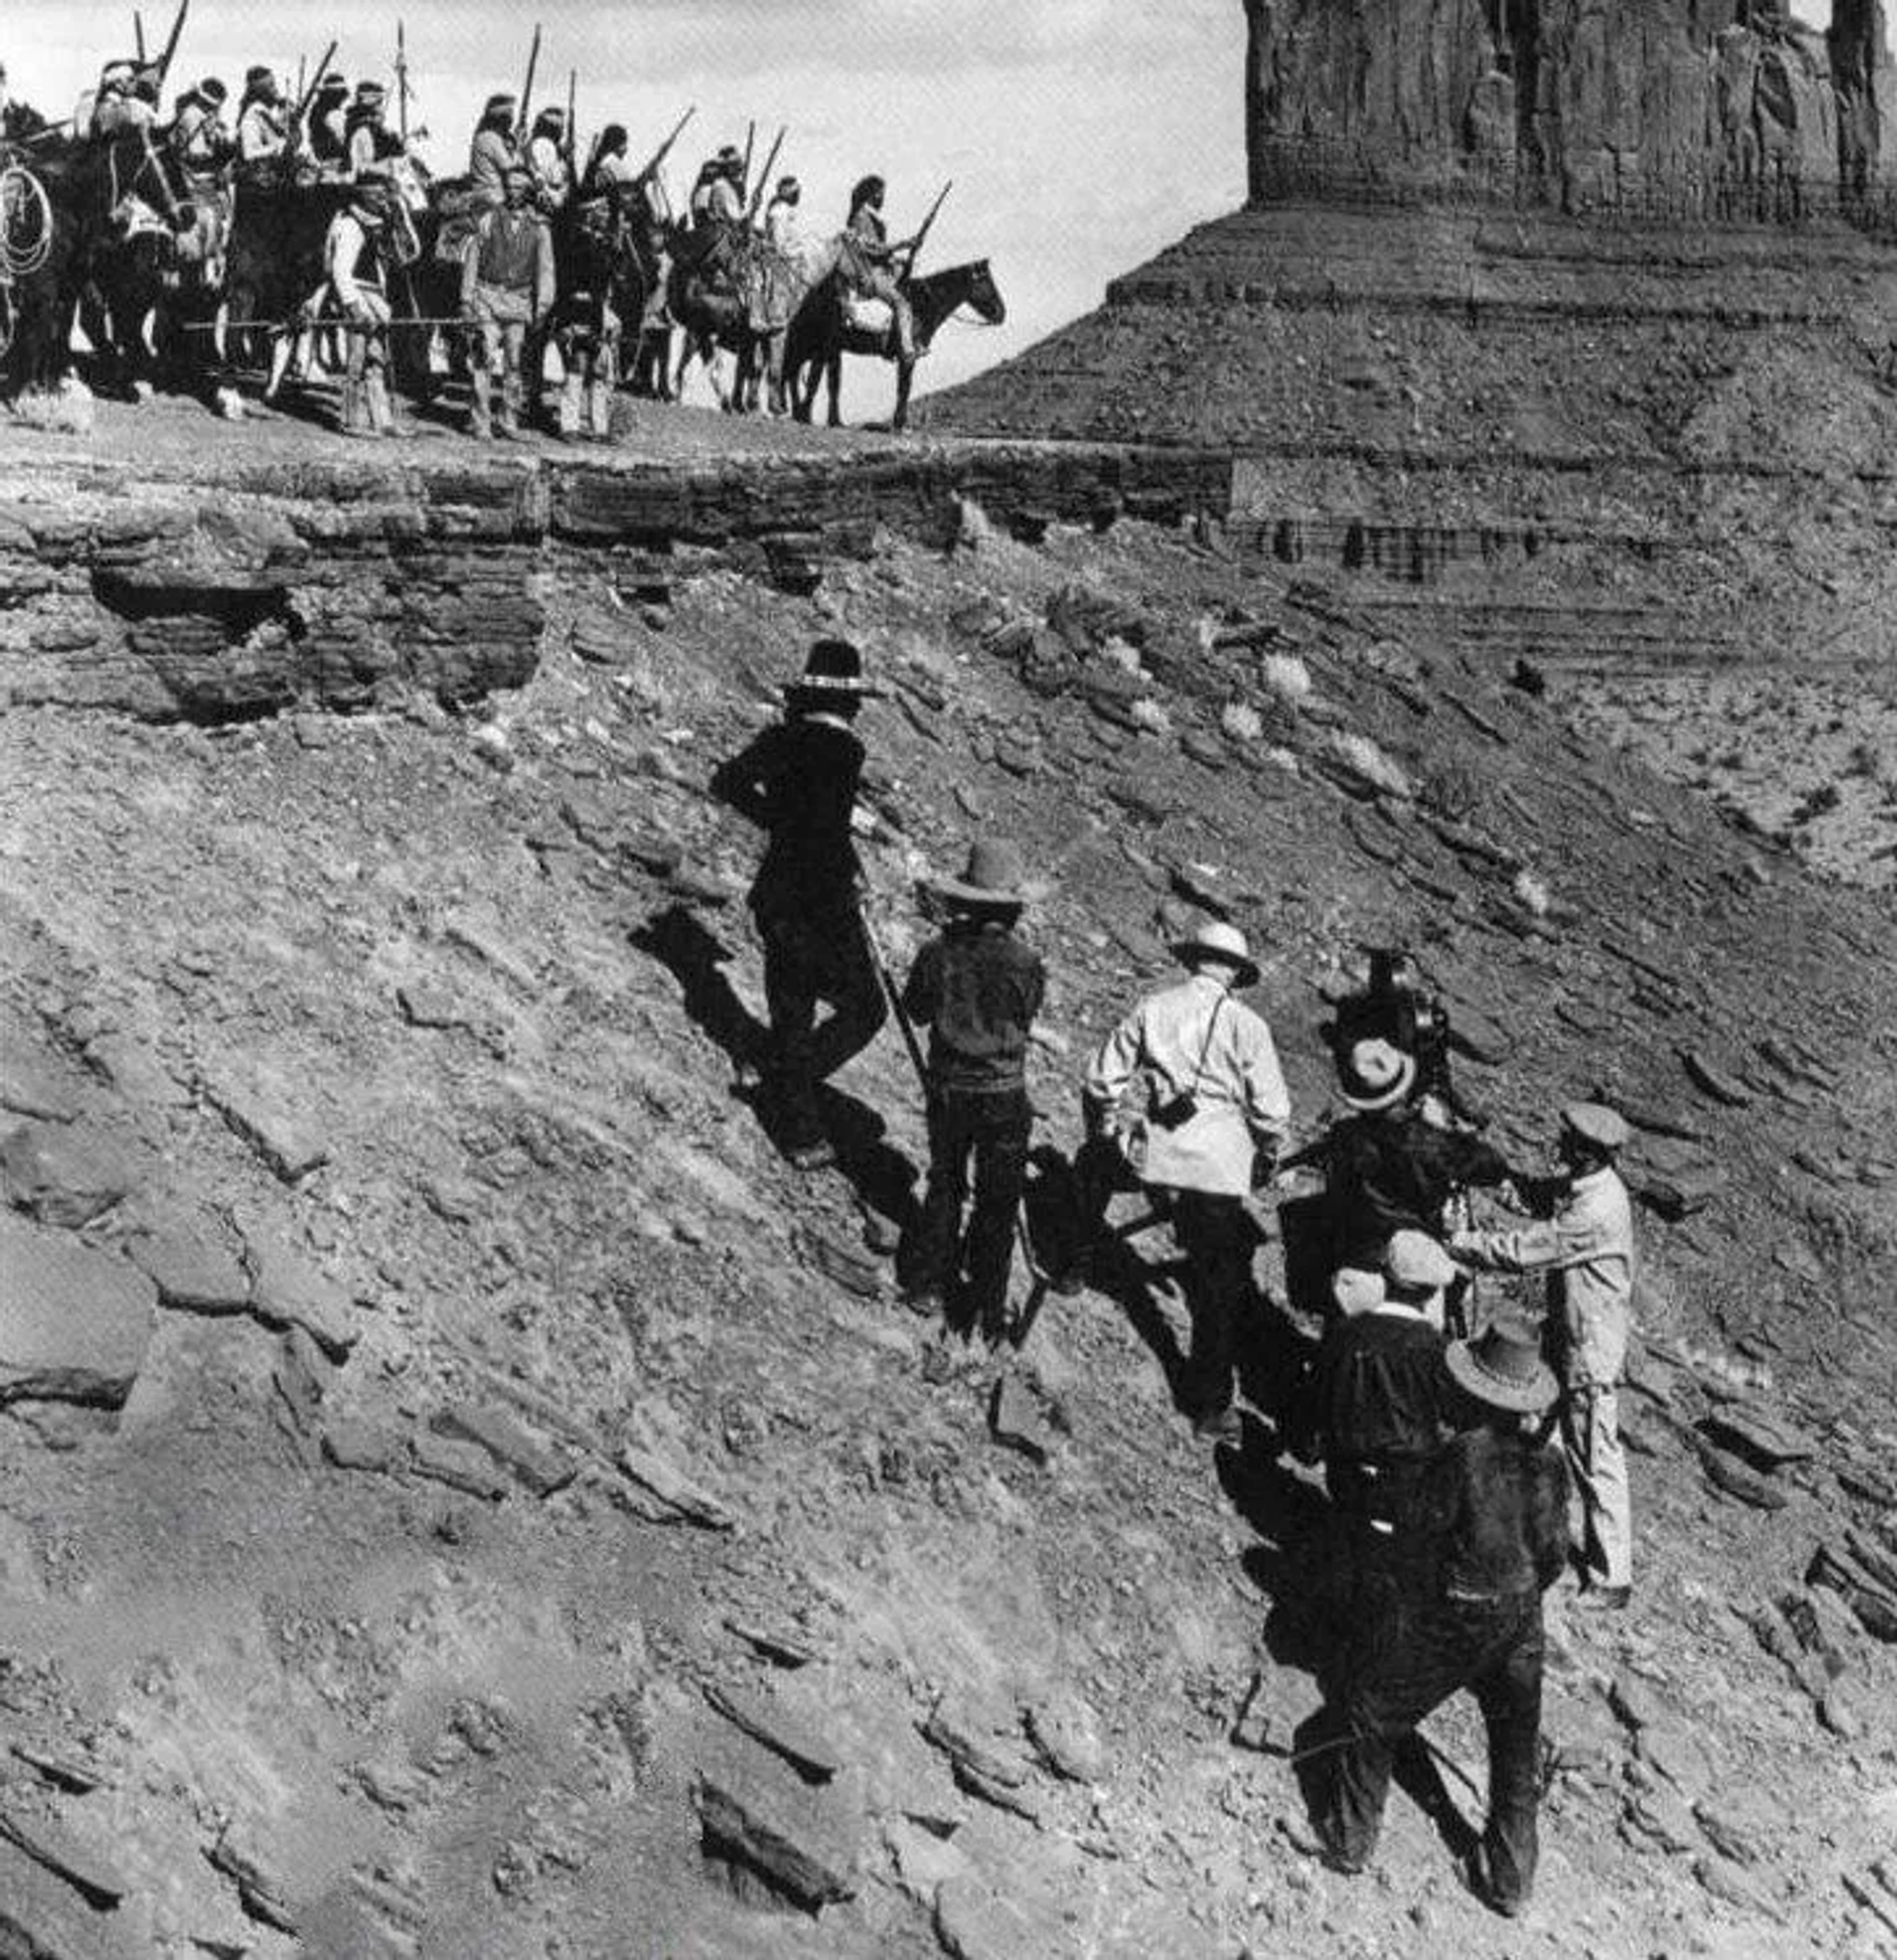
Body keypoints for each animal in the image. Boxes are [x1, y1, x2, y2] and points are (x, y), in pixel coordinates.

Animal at [780, 256, 999, 433]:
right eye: (987, 282)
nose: (1001, 313)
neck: (920, 306)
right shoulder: (907, 357)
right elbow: (904, 388)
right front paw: (899, 424)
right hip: (813, 347)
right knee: (801, 376)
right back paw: (802, 415)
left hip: (827, 349)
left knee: (818, 380)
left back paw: (825, 419)